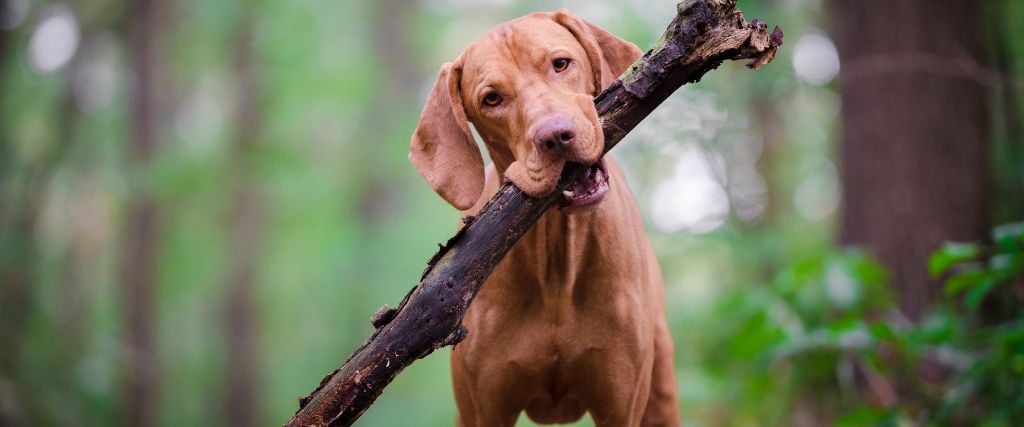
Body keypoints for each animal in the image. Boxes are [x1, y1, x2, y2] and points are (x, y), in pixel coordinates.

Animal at [407, 9, 679, 425]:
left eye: (561, 64)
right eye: (491, 99)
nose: (555, 136)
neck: (555, 261)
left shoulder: (621, 405)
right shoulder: (485, 410)